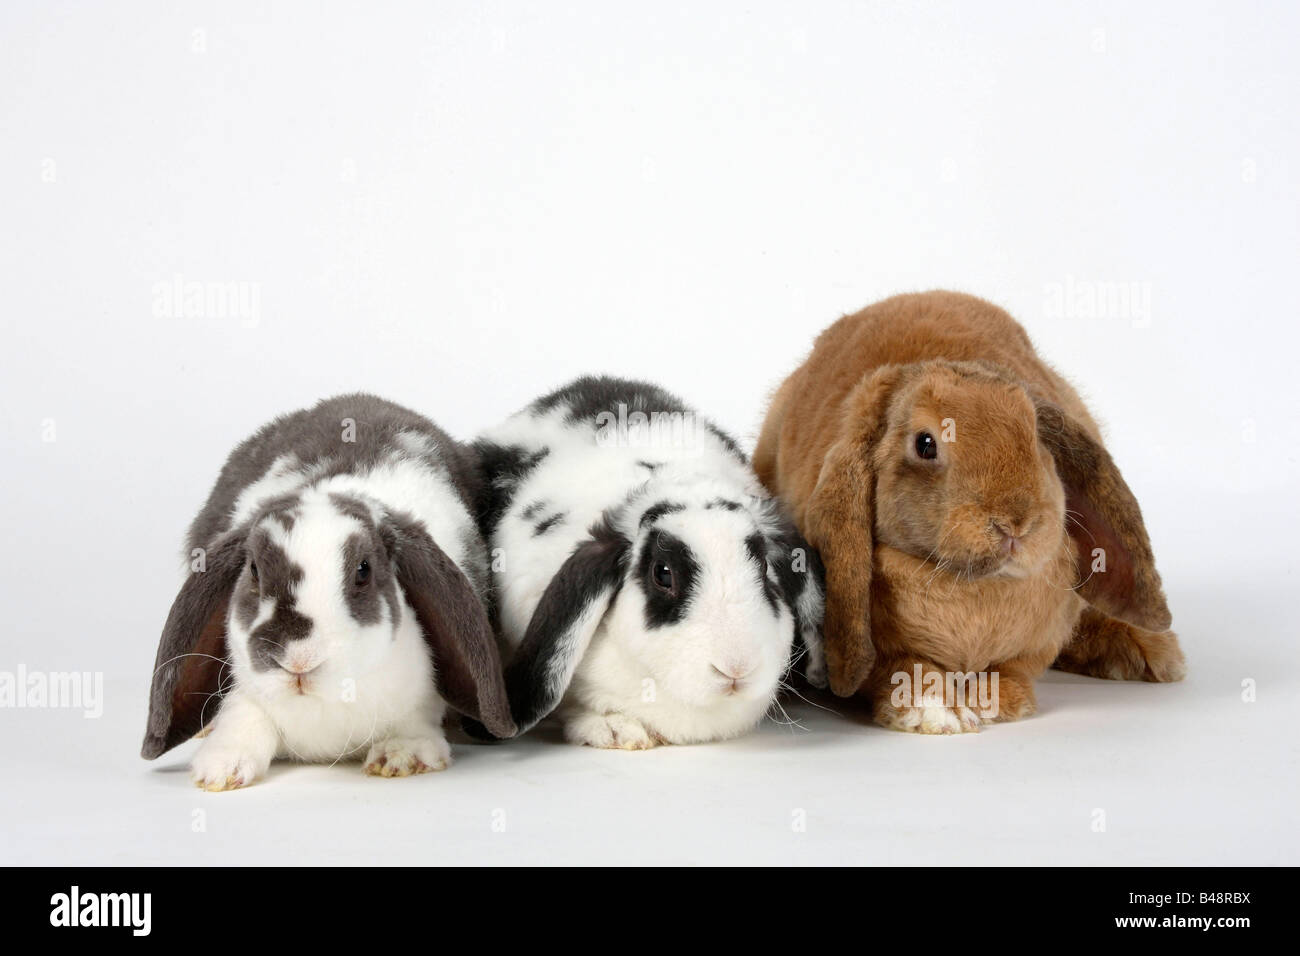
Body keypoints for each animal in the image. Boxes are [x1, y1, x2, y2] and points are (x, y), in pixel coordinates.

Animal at [138, 392, 512, 790]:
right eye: (254, 571)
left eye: (363, 571)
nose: (297, 659)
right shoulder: (246, 691)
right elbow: (244, 716)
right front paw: (221, 767)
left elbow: (416, 718)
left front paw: (401, 755)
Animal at [754, 290, 1190, 733]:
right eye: (925, 444)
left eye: (1037, 438)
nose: (1016, 522)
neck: (972, 585)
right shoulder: (885, 654)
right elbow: (907, 670)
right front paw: (938, 714)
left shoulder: (1035, 643)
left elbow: (1013, 669)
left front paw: (997, 703)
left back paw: (1151, 652)